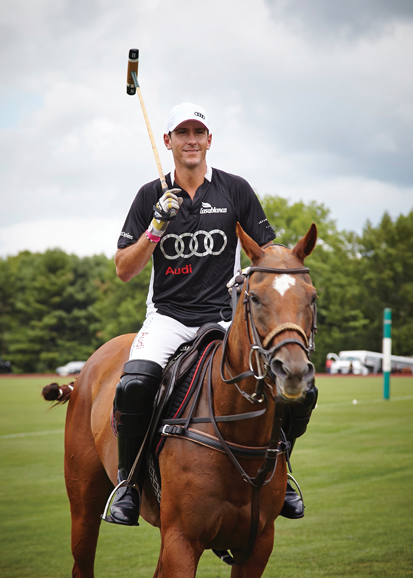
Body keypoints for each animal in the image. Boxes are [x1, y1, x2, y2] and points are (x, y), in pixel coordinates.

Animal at [43, 223, 316, 572]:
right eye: (253, 297)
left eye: (312, 297)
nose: (293, 371)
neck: (240, 433)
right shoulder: (182, 540)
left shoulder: (258, 544)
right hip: (83, 501)